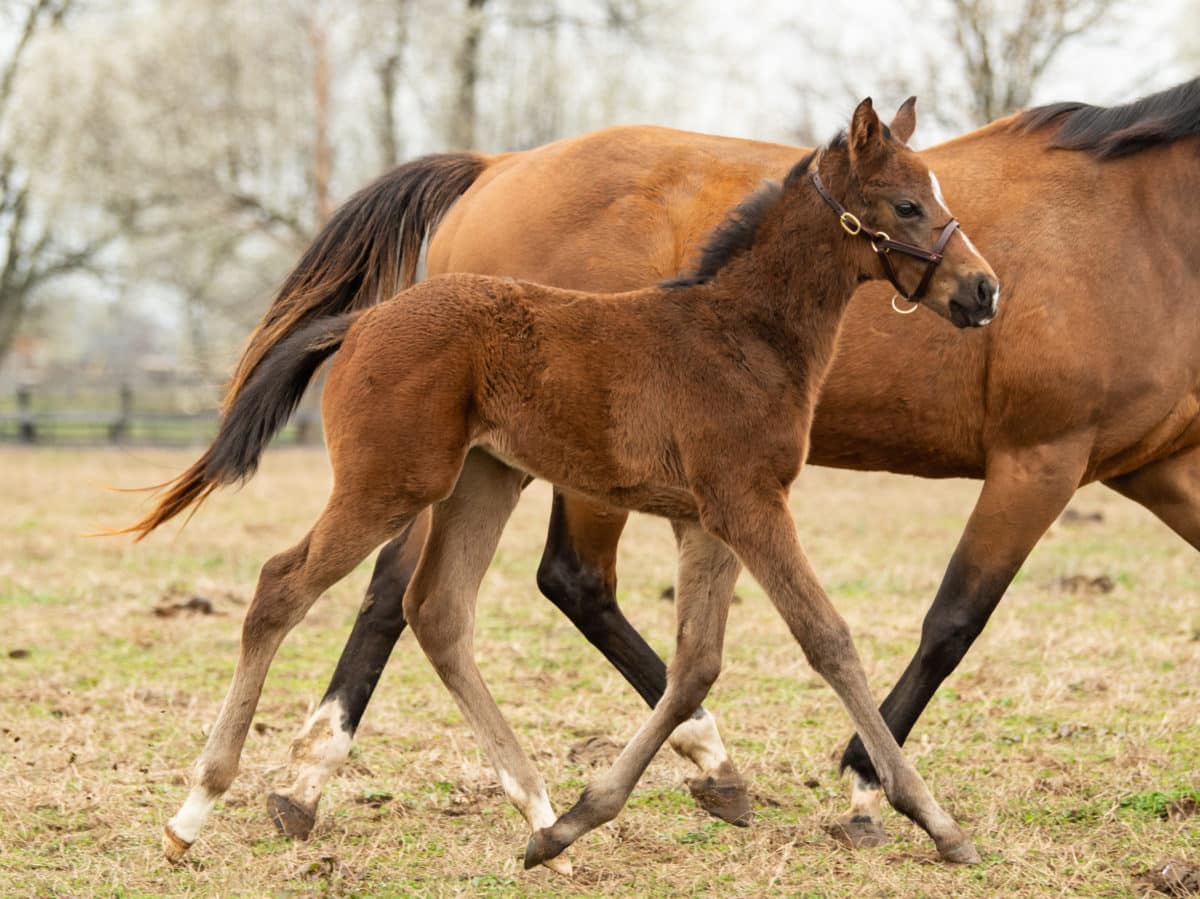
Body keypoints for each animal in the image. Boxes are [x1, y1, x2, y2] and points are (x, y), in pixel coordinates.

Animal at [126, 98, 998, 868]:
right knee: (283, 586)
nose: (983, 289)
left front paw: (586, 815)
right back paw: (192, 813)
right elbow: (828, 640)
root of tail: (365, 320)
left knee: (438, 611)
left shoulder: (706, 520)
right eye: (908, 203)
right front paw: (934, 819)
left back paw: (540, 809)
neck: (742, 335)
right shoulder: (751, 506)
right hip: (392, 482)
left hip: (484, 480)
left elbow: (694, 665)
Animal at [226, 80, 1200, 844]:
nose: (986, 291)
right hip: (477, 471)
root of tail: (496, 166)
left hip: (484, 467)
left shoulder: (1156, 465)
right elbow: (932, 624)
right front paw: (877, 789)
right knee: (491, 581)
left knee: (438, 592)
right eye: (907, 205)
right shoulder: (1037, 458)